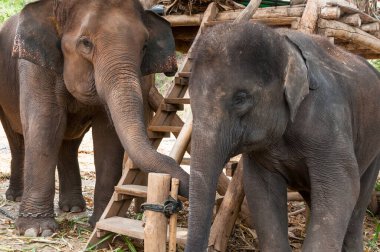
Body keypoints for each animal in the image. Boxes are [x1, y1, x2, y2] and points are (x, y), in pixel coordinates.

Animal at [0, 0, 189, 236]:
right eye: (85, 43)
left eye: (144, 46)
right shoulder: (34, 66)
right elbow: (45, 123)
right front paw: (35, 231)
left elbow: (107, 134)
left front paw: (99, 223)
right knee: (17, 140)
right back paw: (16, 196)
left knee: (68, 143)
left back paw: (72, 208)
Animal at [186, 22, 380, 251]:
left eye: (240, 98)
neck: (281, 41)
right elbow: (260, 189)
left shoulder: (328, 119)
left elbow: (341, 185)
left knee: (356, 208)